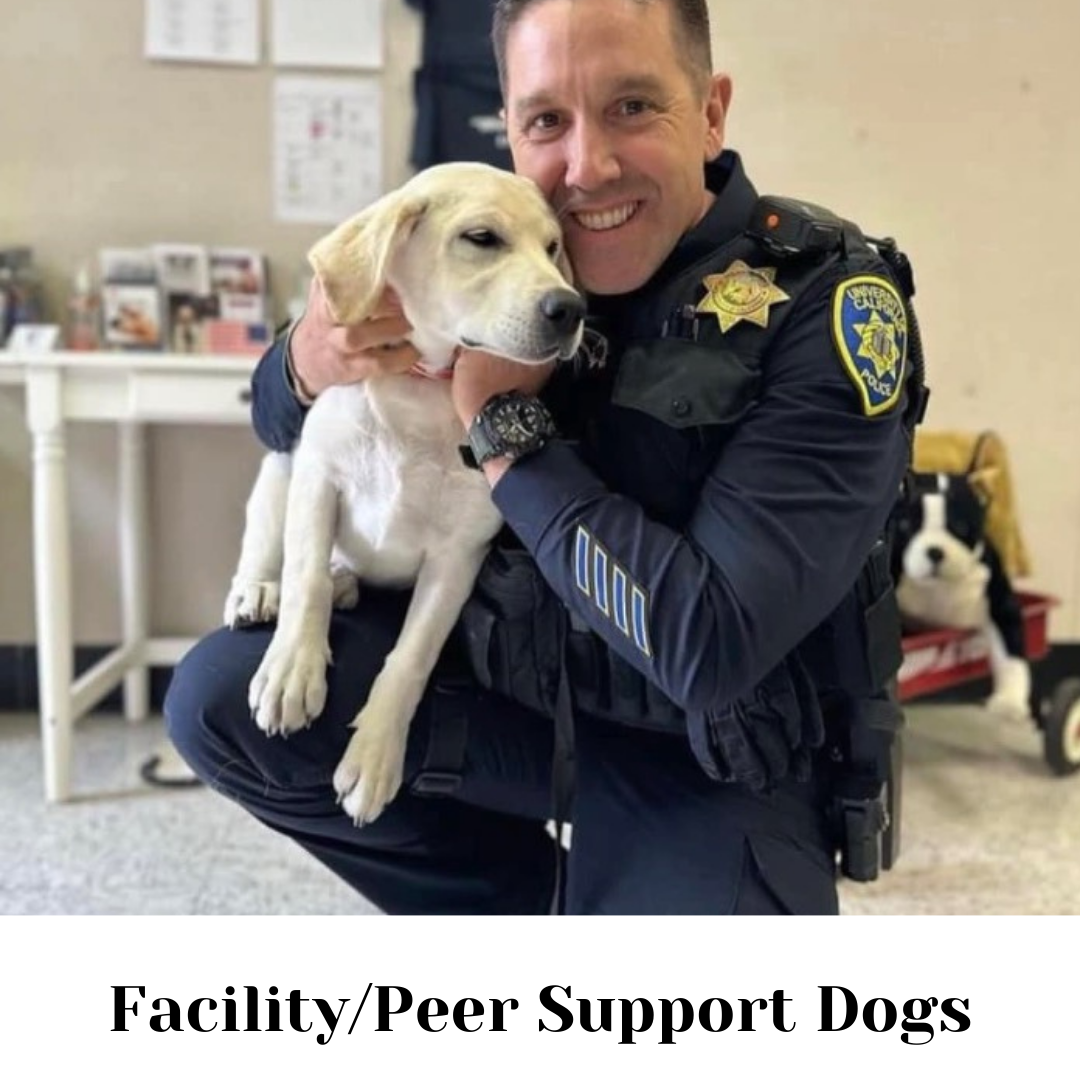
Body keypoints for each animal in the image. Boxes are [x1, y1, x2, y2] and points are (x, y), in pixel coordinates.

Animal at [222, 159, 587, 820]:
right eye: (481, 238)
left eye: (553, 248)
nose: (570, 309)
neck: (421, 391)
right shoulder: (319, 478)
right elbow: (305, 580)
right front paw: (291, 671)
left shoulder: (458, 555)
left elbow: (411, 656)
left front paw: (374, 754)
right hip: (281, 468)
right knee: (274, 549)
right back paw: (260, 589)